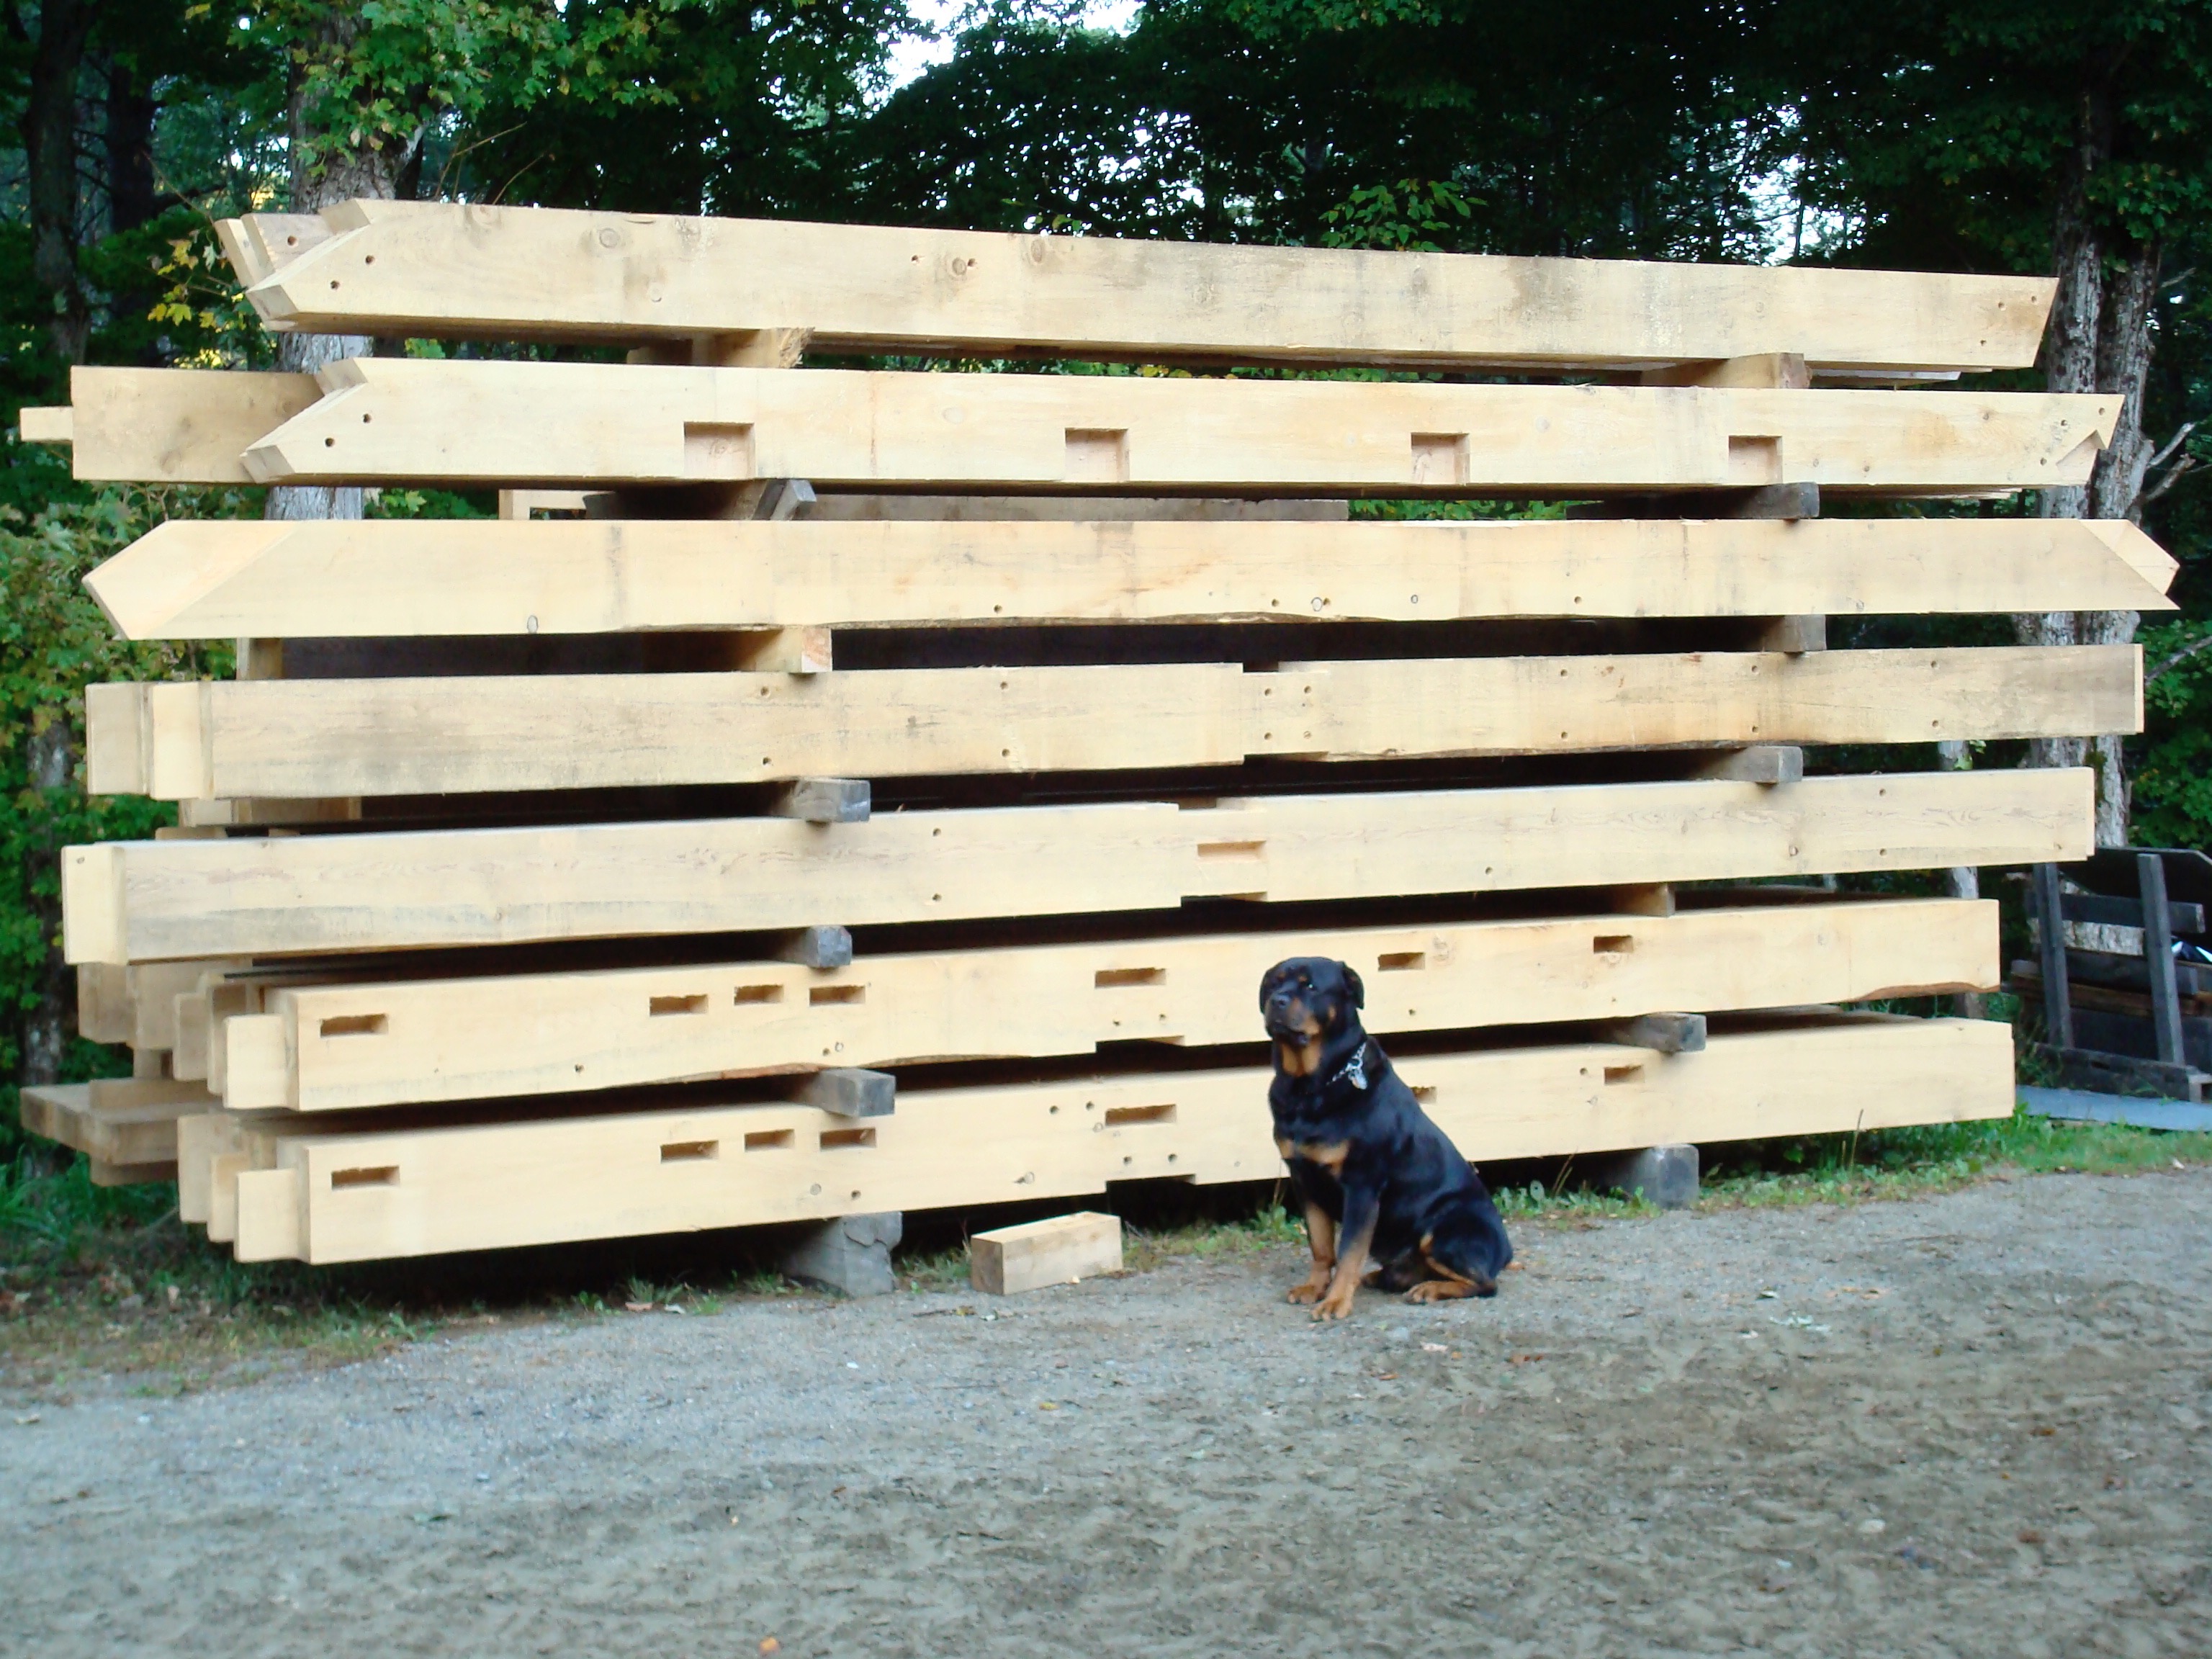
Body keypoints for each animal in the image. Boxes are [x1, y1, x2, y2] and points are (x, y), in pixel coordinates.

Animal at [1274, 960, 1513, 1327]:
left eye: (1310, 986)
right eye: (1274, 983)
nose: (1277, 1000)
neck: (1308, 1088)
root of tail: (1505, 1250)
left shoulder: (1362, 1186)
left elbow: (1349, 1252)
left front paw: (1335, 1301)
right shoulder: (1304, 1180)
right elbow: (1322, 1246)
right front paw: (1314, 1288)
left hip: (1446, 1227)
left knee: (1486, 1283)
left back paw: (1429, 1289)